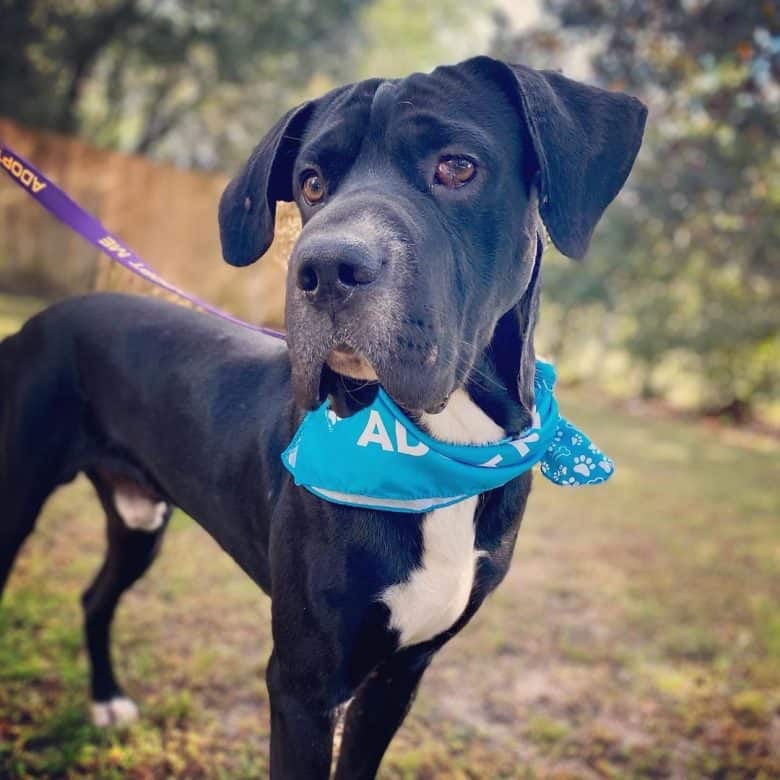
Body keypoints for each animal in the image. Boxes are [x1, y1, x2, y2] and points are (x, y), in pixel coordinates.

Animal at [1, 58, 644, 776]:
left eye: (457, 166)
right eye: (311, 183)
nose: (325, 266)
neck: (442, 447)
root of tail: (36, 322)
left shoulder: (398, 677)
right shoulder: (304, 685)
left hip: (140, 521)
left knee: (96, 596)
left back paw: (107, 699)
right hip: (15, 500)